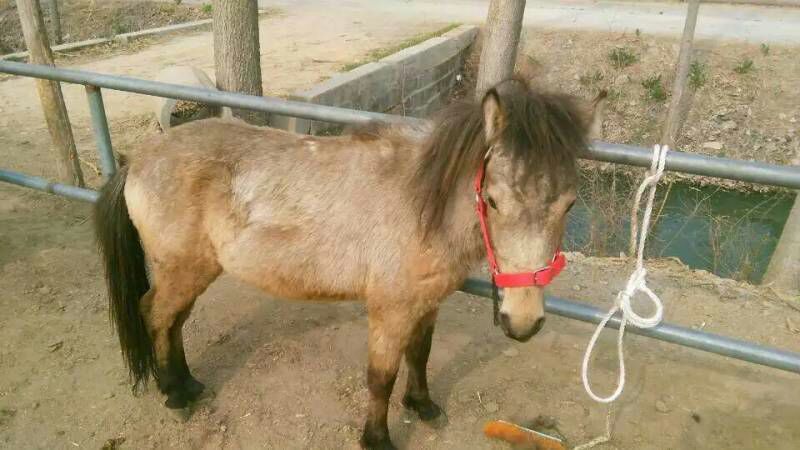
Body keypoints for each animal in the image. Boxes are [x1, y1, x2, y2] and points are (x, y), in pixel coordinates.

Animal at [94, 78, 603, 450]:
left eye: (570, 204)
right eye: (493, 200)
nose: (523, 322)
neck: (421, 205)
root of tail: (138, 160)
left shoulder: (426, 302)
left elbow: (420, 354)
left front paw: (422, 406)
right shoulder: (389, 309)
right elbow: (380, 376)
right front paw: (377, 439)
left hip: (193, 271)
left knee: (173, 321)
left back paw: (188, 383)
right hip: (182, 268)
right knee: (155, 315)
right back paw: (174, 394)